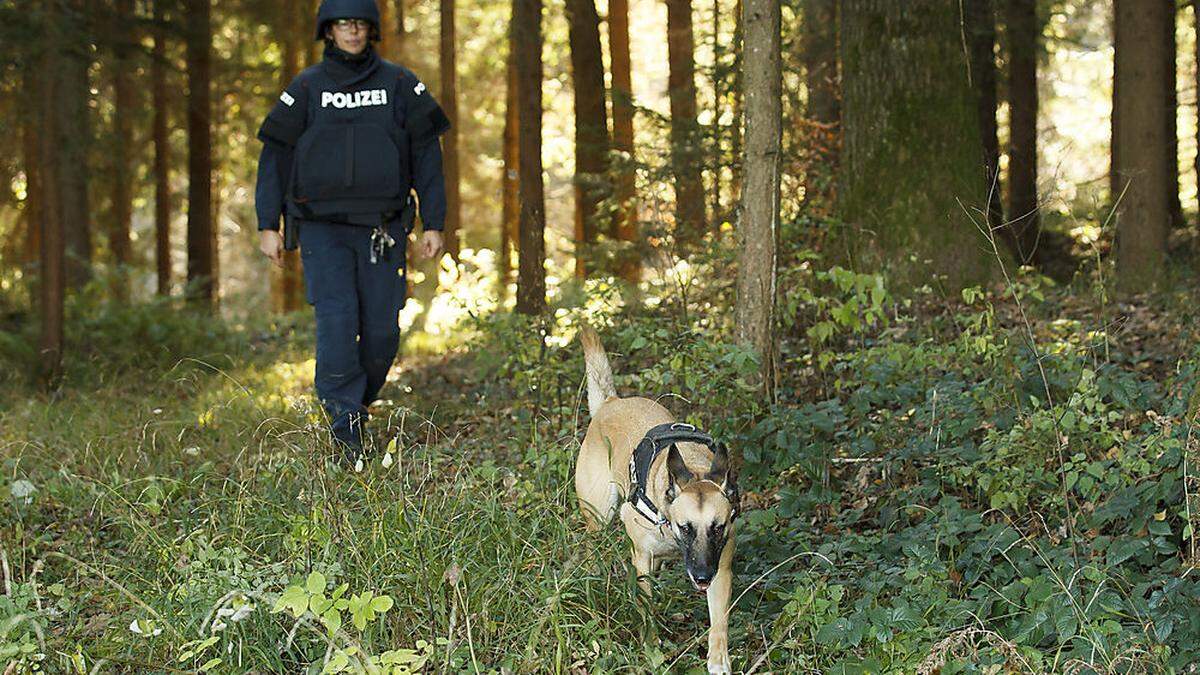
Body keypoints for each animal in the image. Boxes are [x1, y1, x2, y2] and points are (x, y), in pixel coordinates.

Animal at [573, 324, 734, 667]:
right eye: (686, 527)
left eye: (718, 528)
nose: (702, 577)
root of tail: (611, 403)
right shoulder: (643, 556)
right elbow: (645, 608)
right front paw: (652, 646)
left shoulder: (722, 569)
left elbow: (719, 623)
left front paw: (718, 659)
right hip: (600, 515)